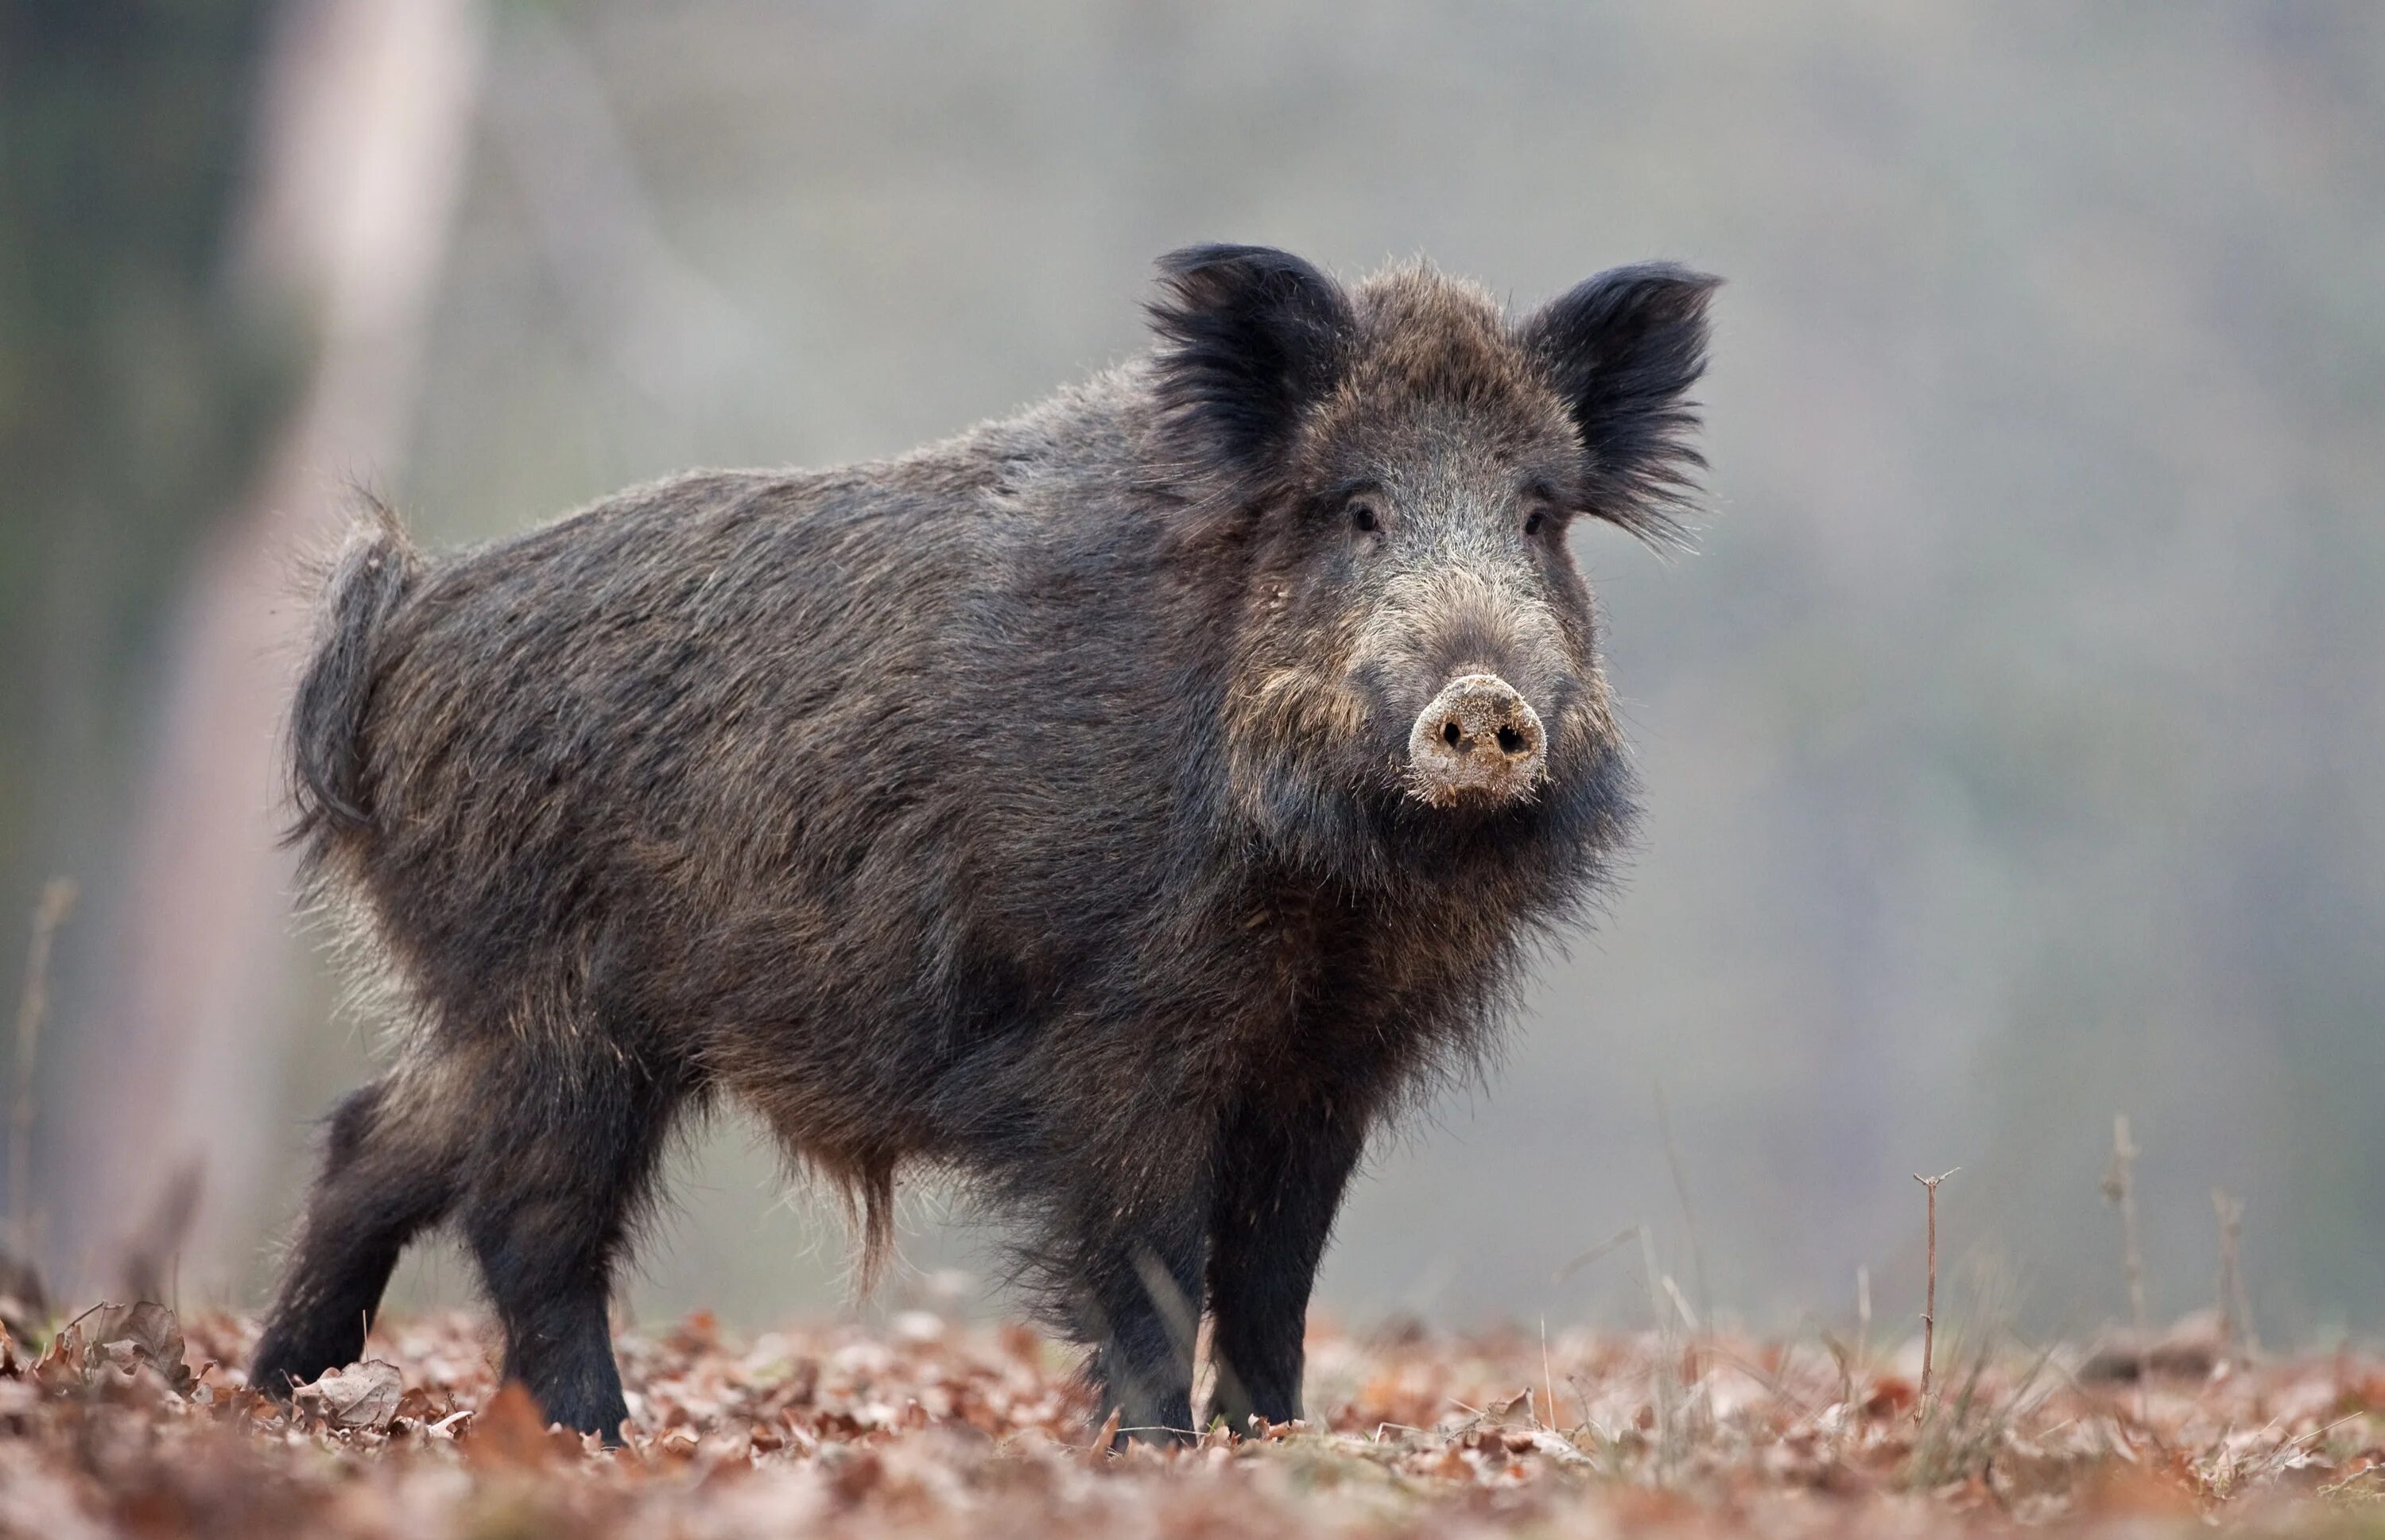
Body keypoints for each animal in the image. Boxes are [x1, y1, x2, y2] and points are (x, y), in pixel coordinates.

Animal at [249, 245, 1718, 1442]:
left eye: (1539, 515)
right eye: (1355, 507)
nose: (1483, 701)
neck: (1329, 894)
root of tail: (404, 615)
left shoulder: (1327, 1063)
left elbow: (1272, 1276)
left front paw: (1274, 1444)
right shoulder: (1116, 1038)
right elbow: (1146, 1263)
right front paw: (1159, 1453)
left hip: (516, 1013)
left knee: (380, 1135)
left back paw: (286, 1391)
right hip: (555, 1009)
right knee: (527, 1219)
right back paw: (595, 1437)